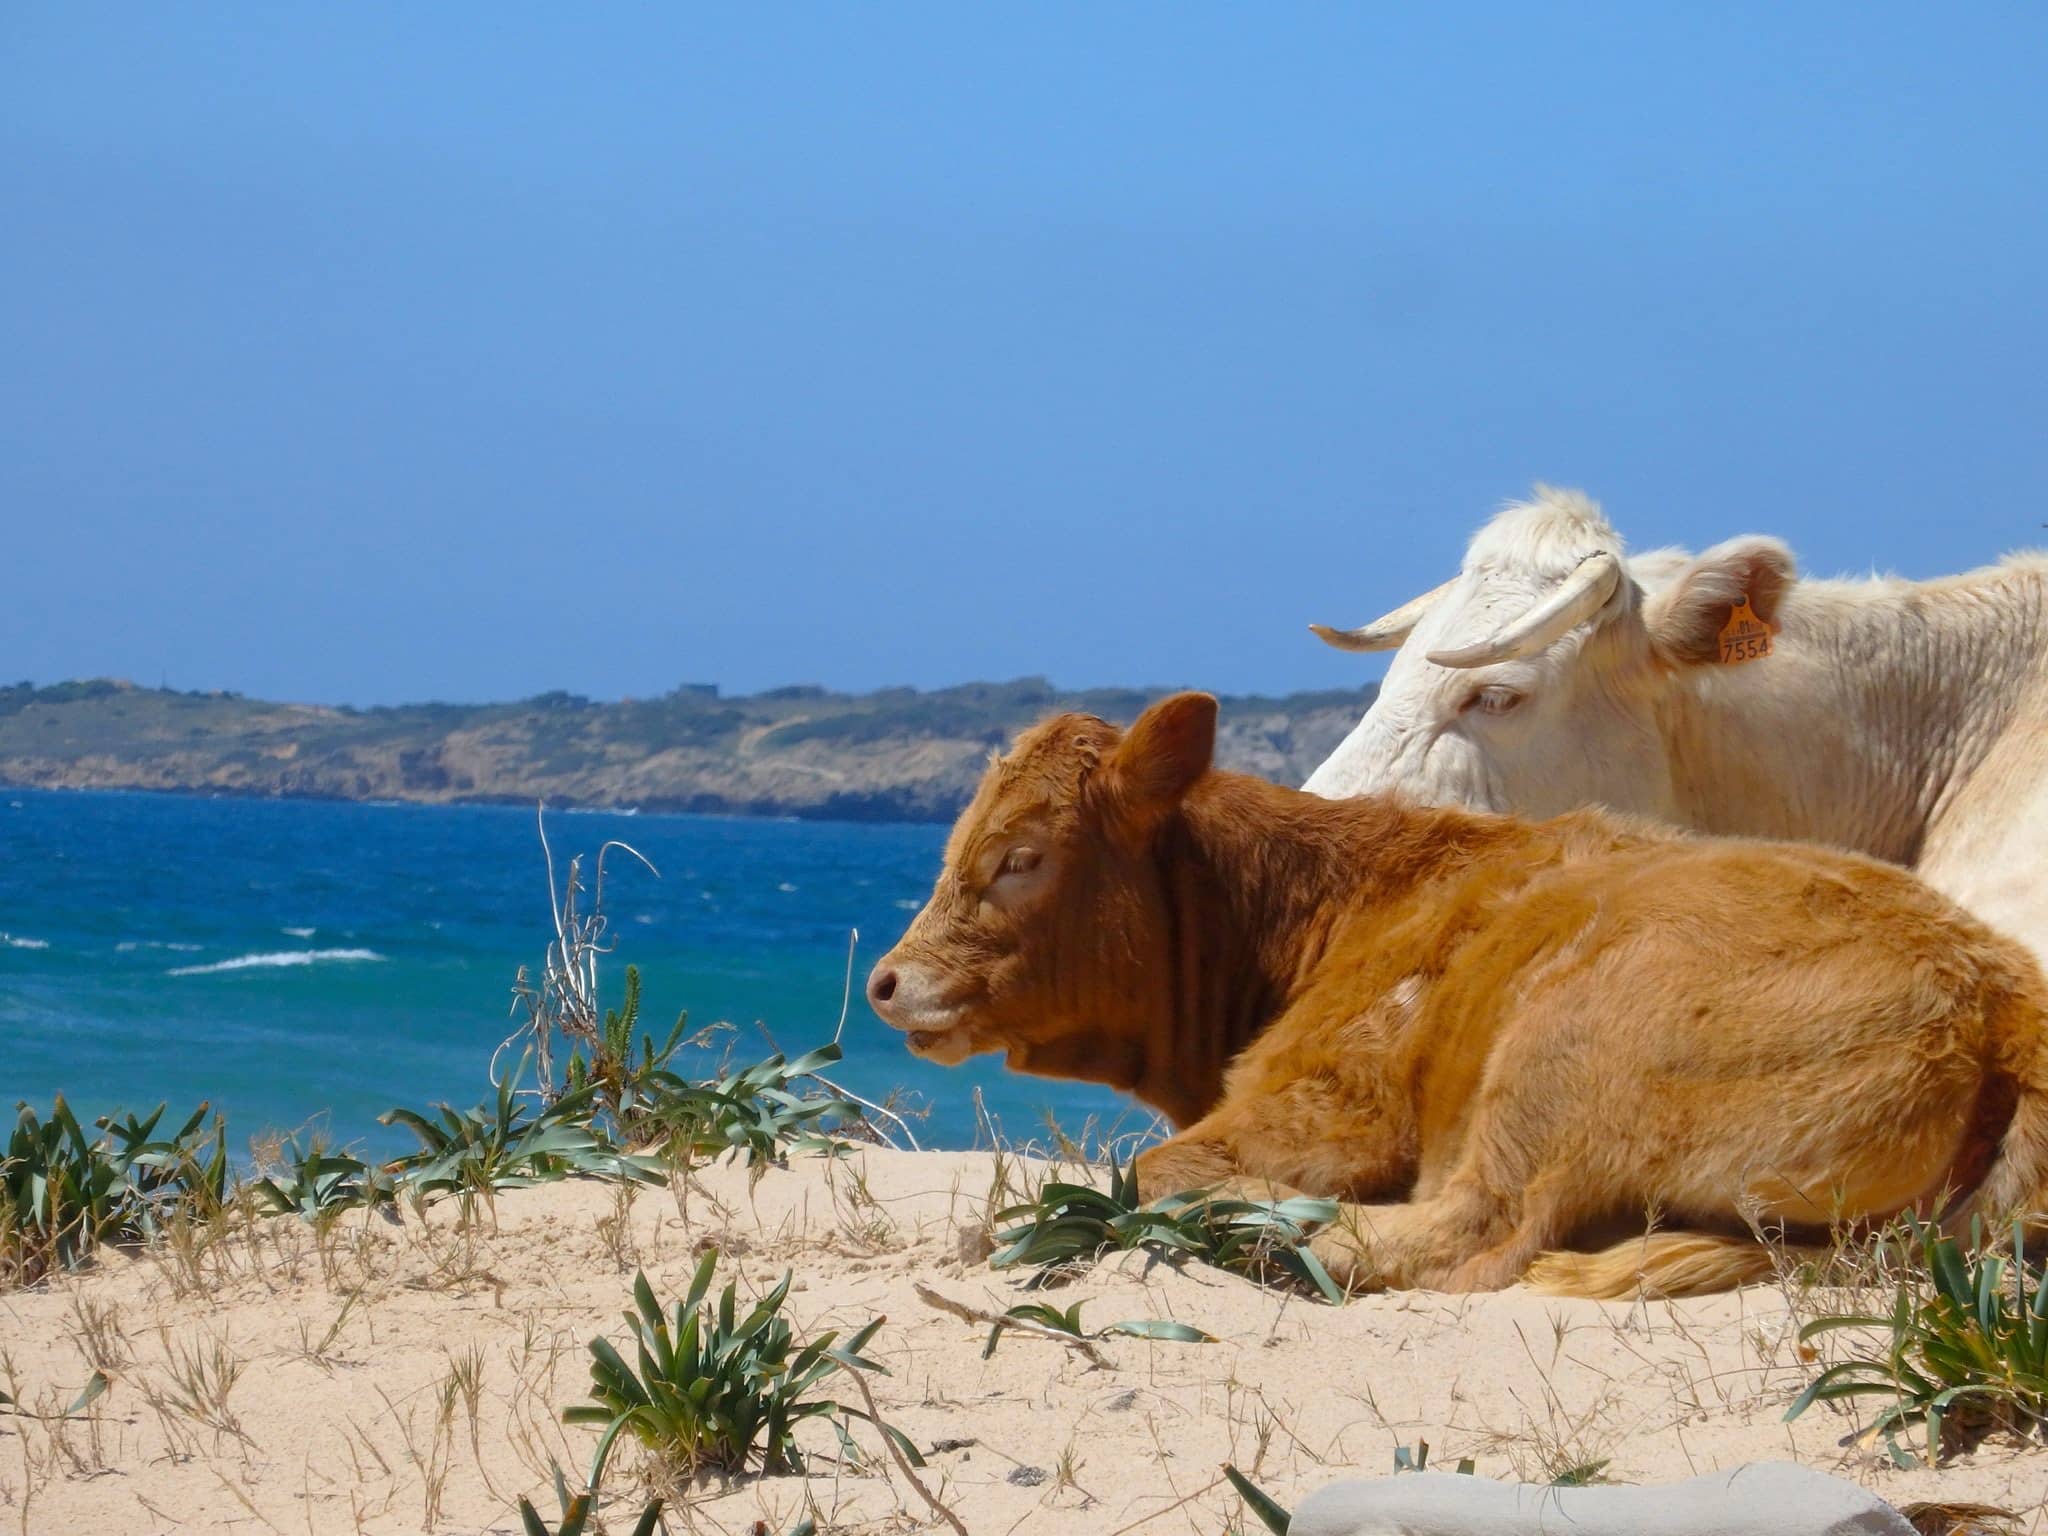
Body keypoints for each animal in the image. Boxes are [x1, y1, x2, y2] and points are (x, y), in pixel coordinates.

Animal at [867, 692, 2048, 1297]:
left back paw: (1266, 1234)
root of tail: (1996, 993)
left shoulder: (1329, 1104)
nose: (883, 983)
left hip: (1561, 1052)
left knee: (1471, 1230)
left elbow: (1154, 1167)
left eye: (1019, 858)